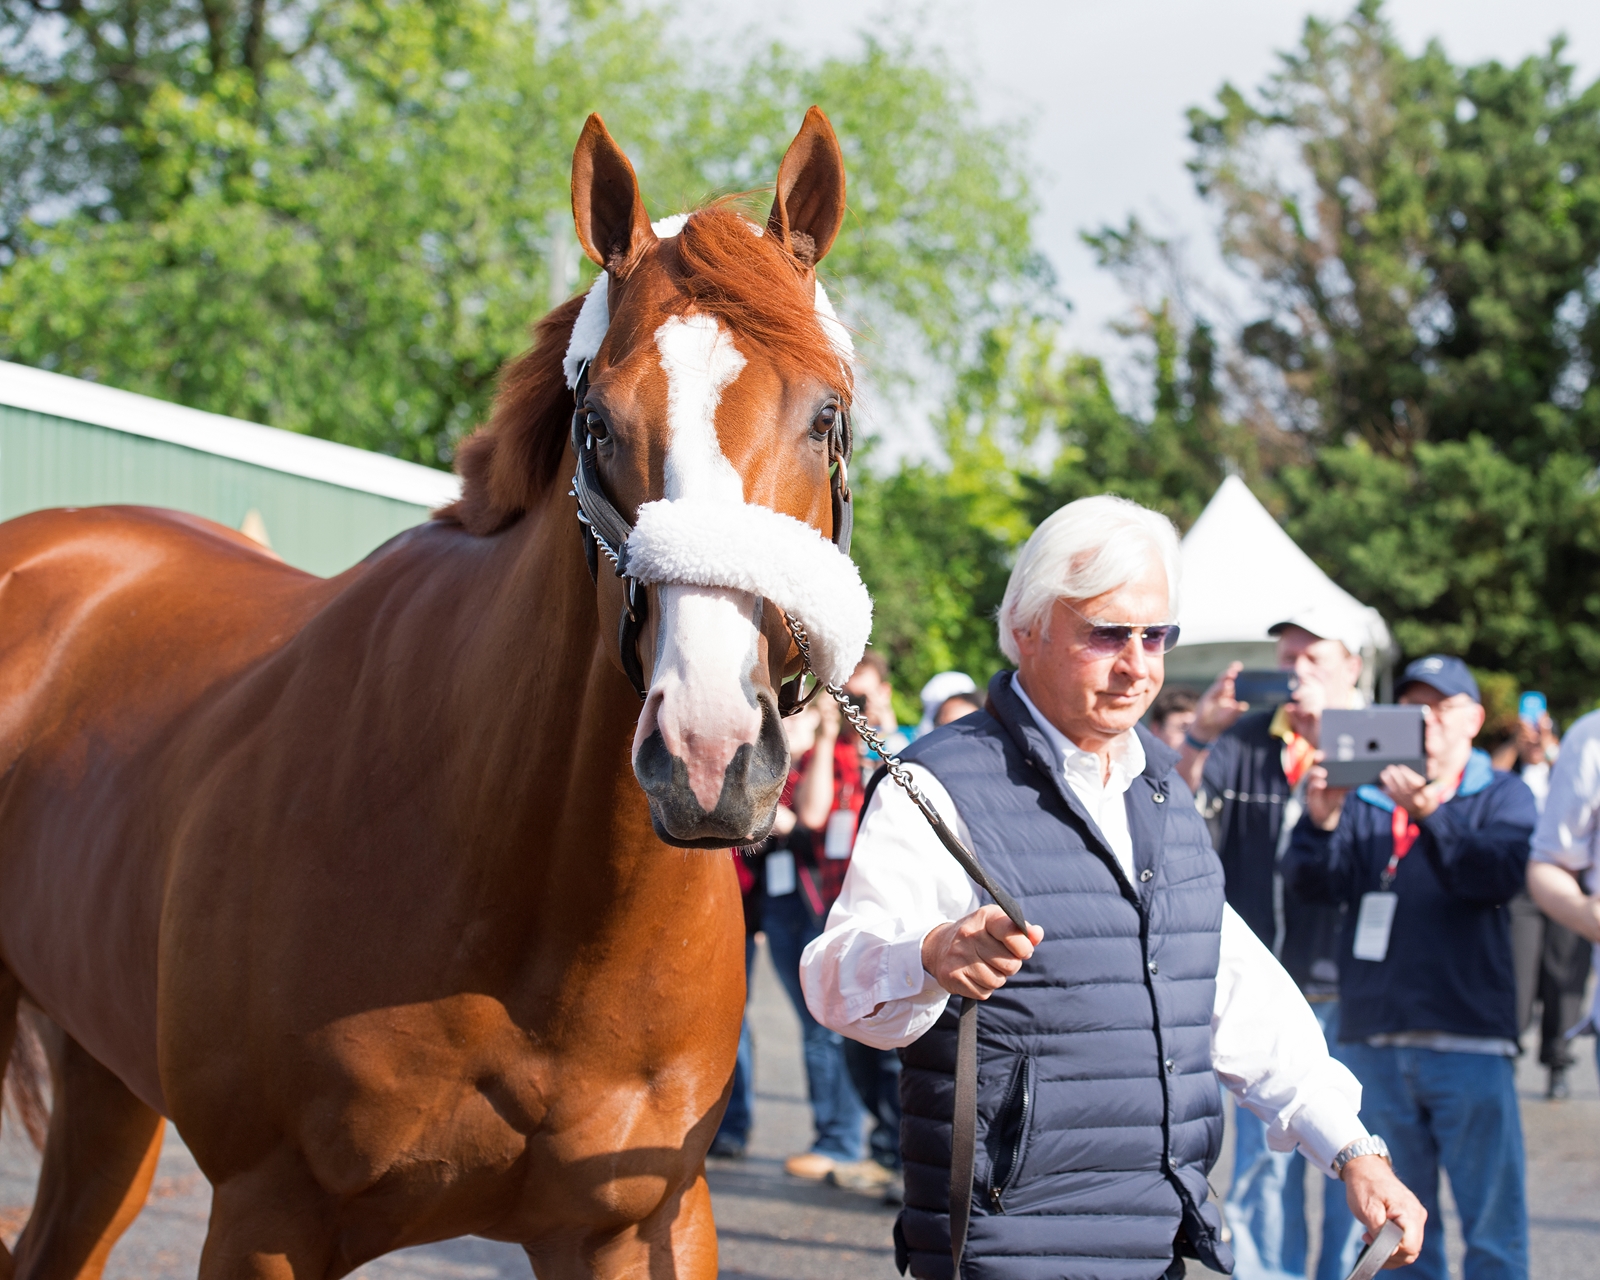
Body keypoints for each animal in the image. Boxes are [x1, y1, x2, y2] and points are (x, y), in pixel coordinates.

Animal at [0, 110, 870, 1280]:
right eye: (598, 422)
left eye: (825, 417)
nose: (707, 753)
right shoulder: (266, 1217)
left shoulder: (648, 1219)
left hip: (102, 1076)